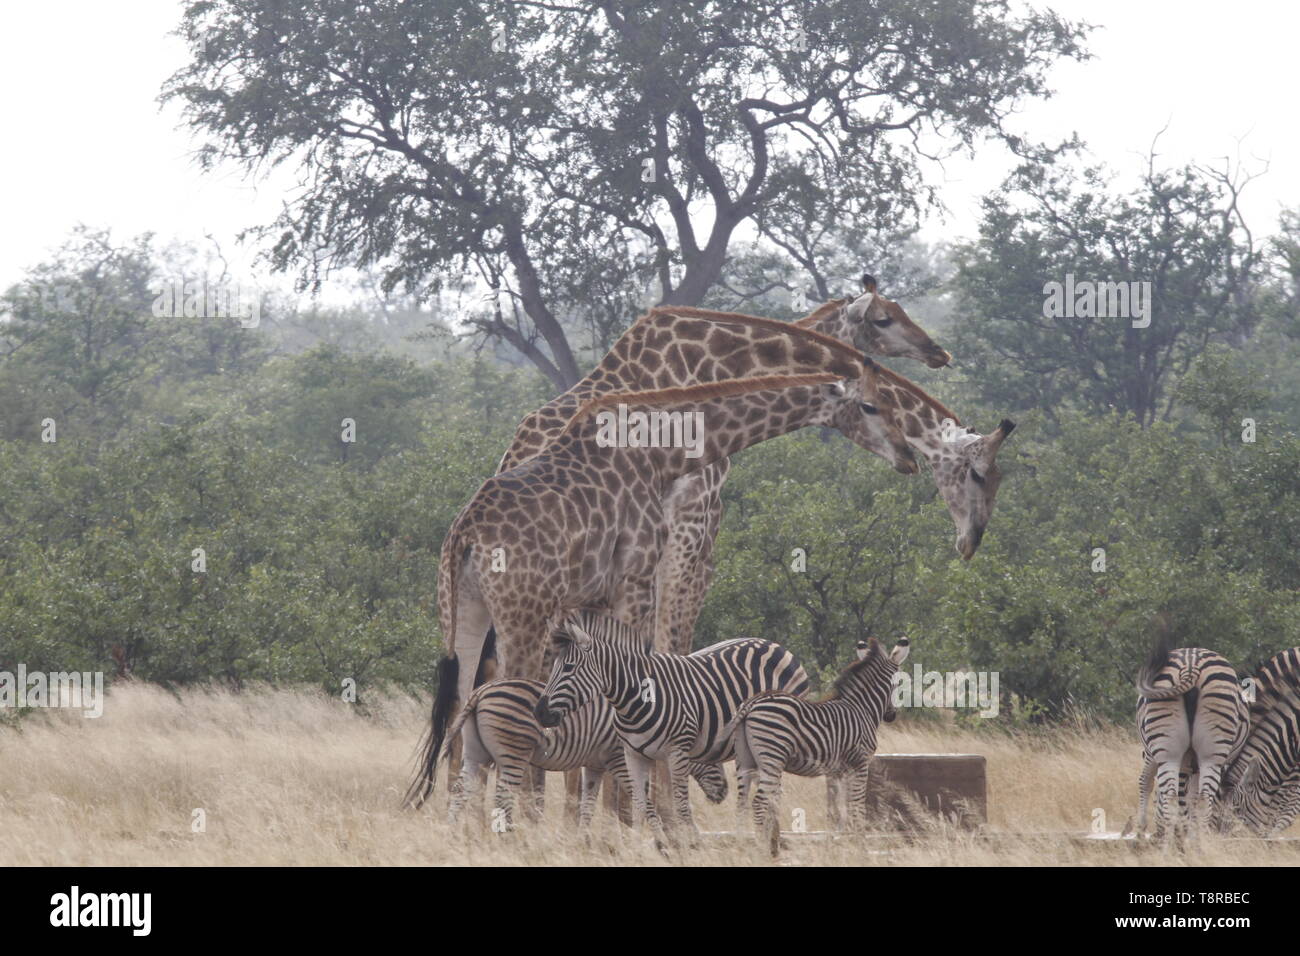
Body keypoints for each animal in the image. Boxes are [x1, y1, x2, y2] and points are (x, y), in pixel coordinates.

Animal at [404, 363, 917, 808]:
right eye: (870, 405)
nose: (909, 457)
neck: (656, 453)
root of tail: (465, 532)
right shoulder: (635, 576)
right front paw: (632, 817)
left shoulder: (597, 595)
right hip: (522, 612)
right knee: (510, 694)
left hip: (465, 612)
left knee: (460, 709)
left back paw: (466, 824)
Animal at [442, 677, 727, 829]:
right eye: (710, 757)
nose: (724, 793)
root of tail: (480, 691)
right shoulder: (618, 757)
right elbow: (638, 795)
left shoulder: (595, 764)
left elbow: (587, 805)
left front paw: (584, 841)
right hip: (513, 752)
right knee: (502, 796)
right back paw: (510, 838)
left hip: (476, 753)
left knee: (460, 790)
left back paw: (452, 831)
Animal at [534, 609, 809, 847]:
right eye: (555, 667)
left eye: (568, 668)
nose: (540, 713)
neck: (633, 700)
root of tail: (774, 645)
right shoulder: (632, 754)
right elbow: (640, 804)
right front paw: (643, 848)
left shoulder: (675, 752)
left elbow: (679, 803)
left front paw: (689, 844)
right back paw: (767, 840)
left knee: (773, 790)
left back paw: (769, 841)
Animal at [726, 636, 909, 855]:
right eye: (898, 684)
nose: (891, 716)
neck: (862, 708)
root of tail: (751, 704)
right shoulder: (860, 762)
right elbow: (857, 805)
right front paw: (861, 846)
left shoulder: (837, 770)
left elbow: (837, 811)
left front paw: (837, 845)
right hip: (772, 757)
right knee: (759, 803)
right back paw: (760, 851)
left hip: (744, 760)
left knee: (741, 803)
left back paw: (741, 850)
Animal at [1135, 639, 1248, 839]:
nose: (1226, 831)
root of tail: (1190, 666)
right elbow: (1188, 799)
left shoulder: (1153, 753)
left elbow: (1148, 782)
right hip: (1208, 751)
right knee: (1199, 798)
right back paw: (1197, 844)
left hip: (1167, 749)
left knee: (1170, 794)